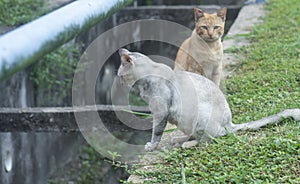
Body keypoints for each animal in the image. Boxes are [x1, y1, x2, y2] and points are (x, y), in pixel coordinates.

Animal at [117, 48, 300, 151]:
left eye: (120, 74)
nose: (119, 81)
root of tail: (229, 124)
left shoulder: (160, 112)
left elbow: (156, 133)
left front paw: (151, 146)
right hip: (184, 122)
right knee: (193, 135)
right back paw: (178, 140)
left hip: (201, 117)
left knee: (207, 139)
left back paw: (186, 145)